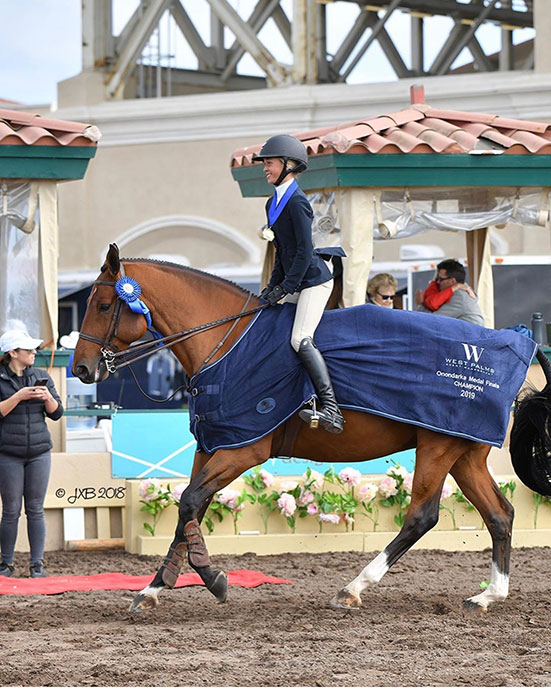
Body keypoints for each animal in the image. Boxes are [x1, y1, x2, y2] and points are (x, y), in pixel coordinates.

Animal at [73, 246, 551, 612]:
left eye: (103, 305)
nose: (80, 369)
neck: (228, 342)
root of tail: (517, 341)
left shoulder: (244, 450)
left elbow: (190, 503)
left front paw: (212, 578)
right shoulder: (212, 447)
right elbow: (188, 510)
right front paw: (155, 588)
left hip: (438, 446)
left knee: (421, 515)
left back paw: (353, 589)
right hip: (464, 451)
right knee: (499, 514)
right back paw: (489, 595)